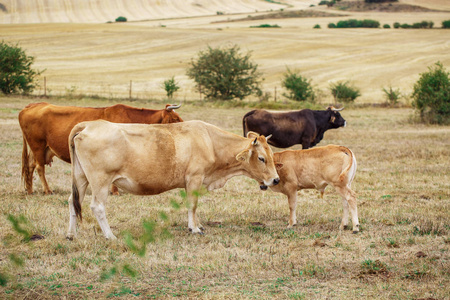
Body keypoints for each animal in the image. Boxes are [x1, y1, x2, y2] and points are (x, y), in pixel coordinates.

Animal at [18, 101, 182, 195]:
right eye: (175, 118)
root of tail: (31, 106)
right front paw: (115, 192)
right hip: (38, 146)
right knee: (39, 167)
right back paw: (47, 190)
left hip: (40, 149)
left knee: (30, 166)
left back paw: (30, 190)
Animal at [66, 119, 282, 239]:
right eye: (262, 158)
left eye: (271, 155)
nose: (276, 180)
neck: (210, 141)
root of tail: (88, 125)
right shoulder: (194, 178)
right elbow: (192, 205)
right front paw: (194, 228)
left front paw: (198, 224)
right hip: (100, 181)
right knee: (97, 207)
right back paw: (110, 236)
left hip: (81, 178)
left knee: (72, 201)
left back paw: (71, 234)